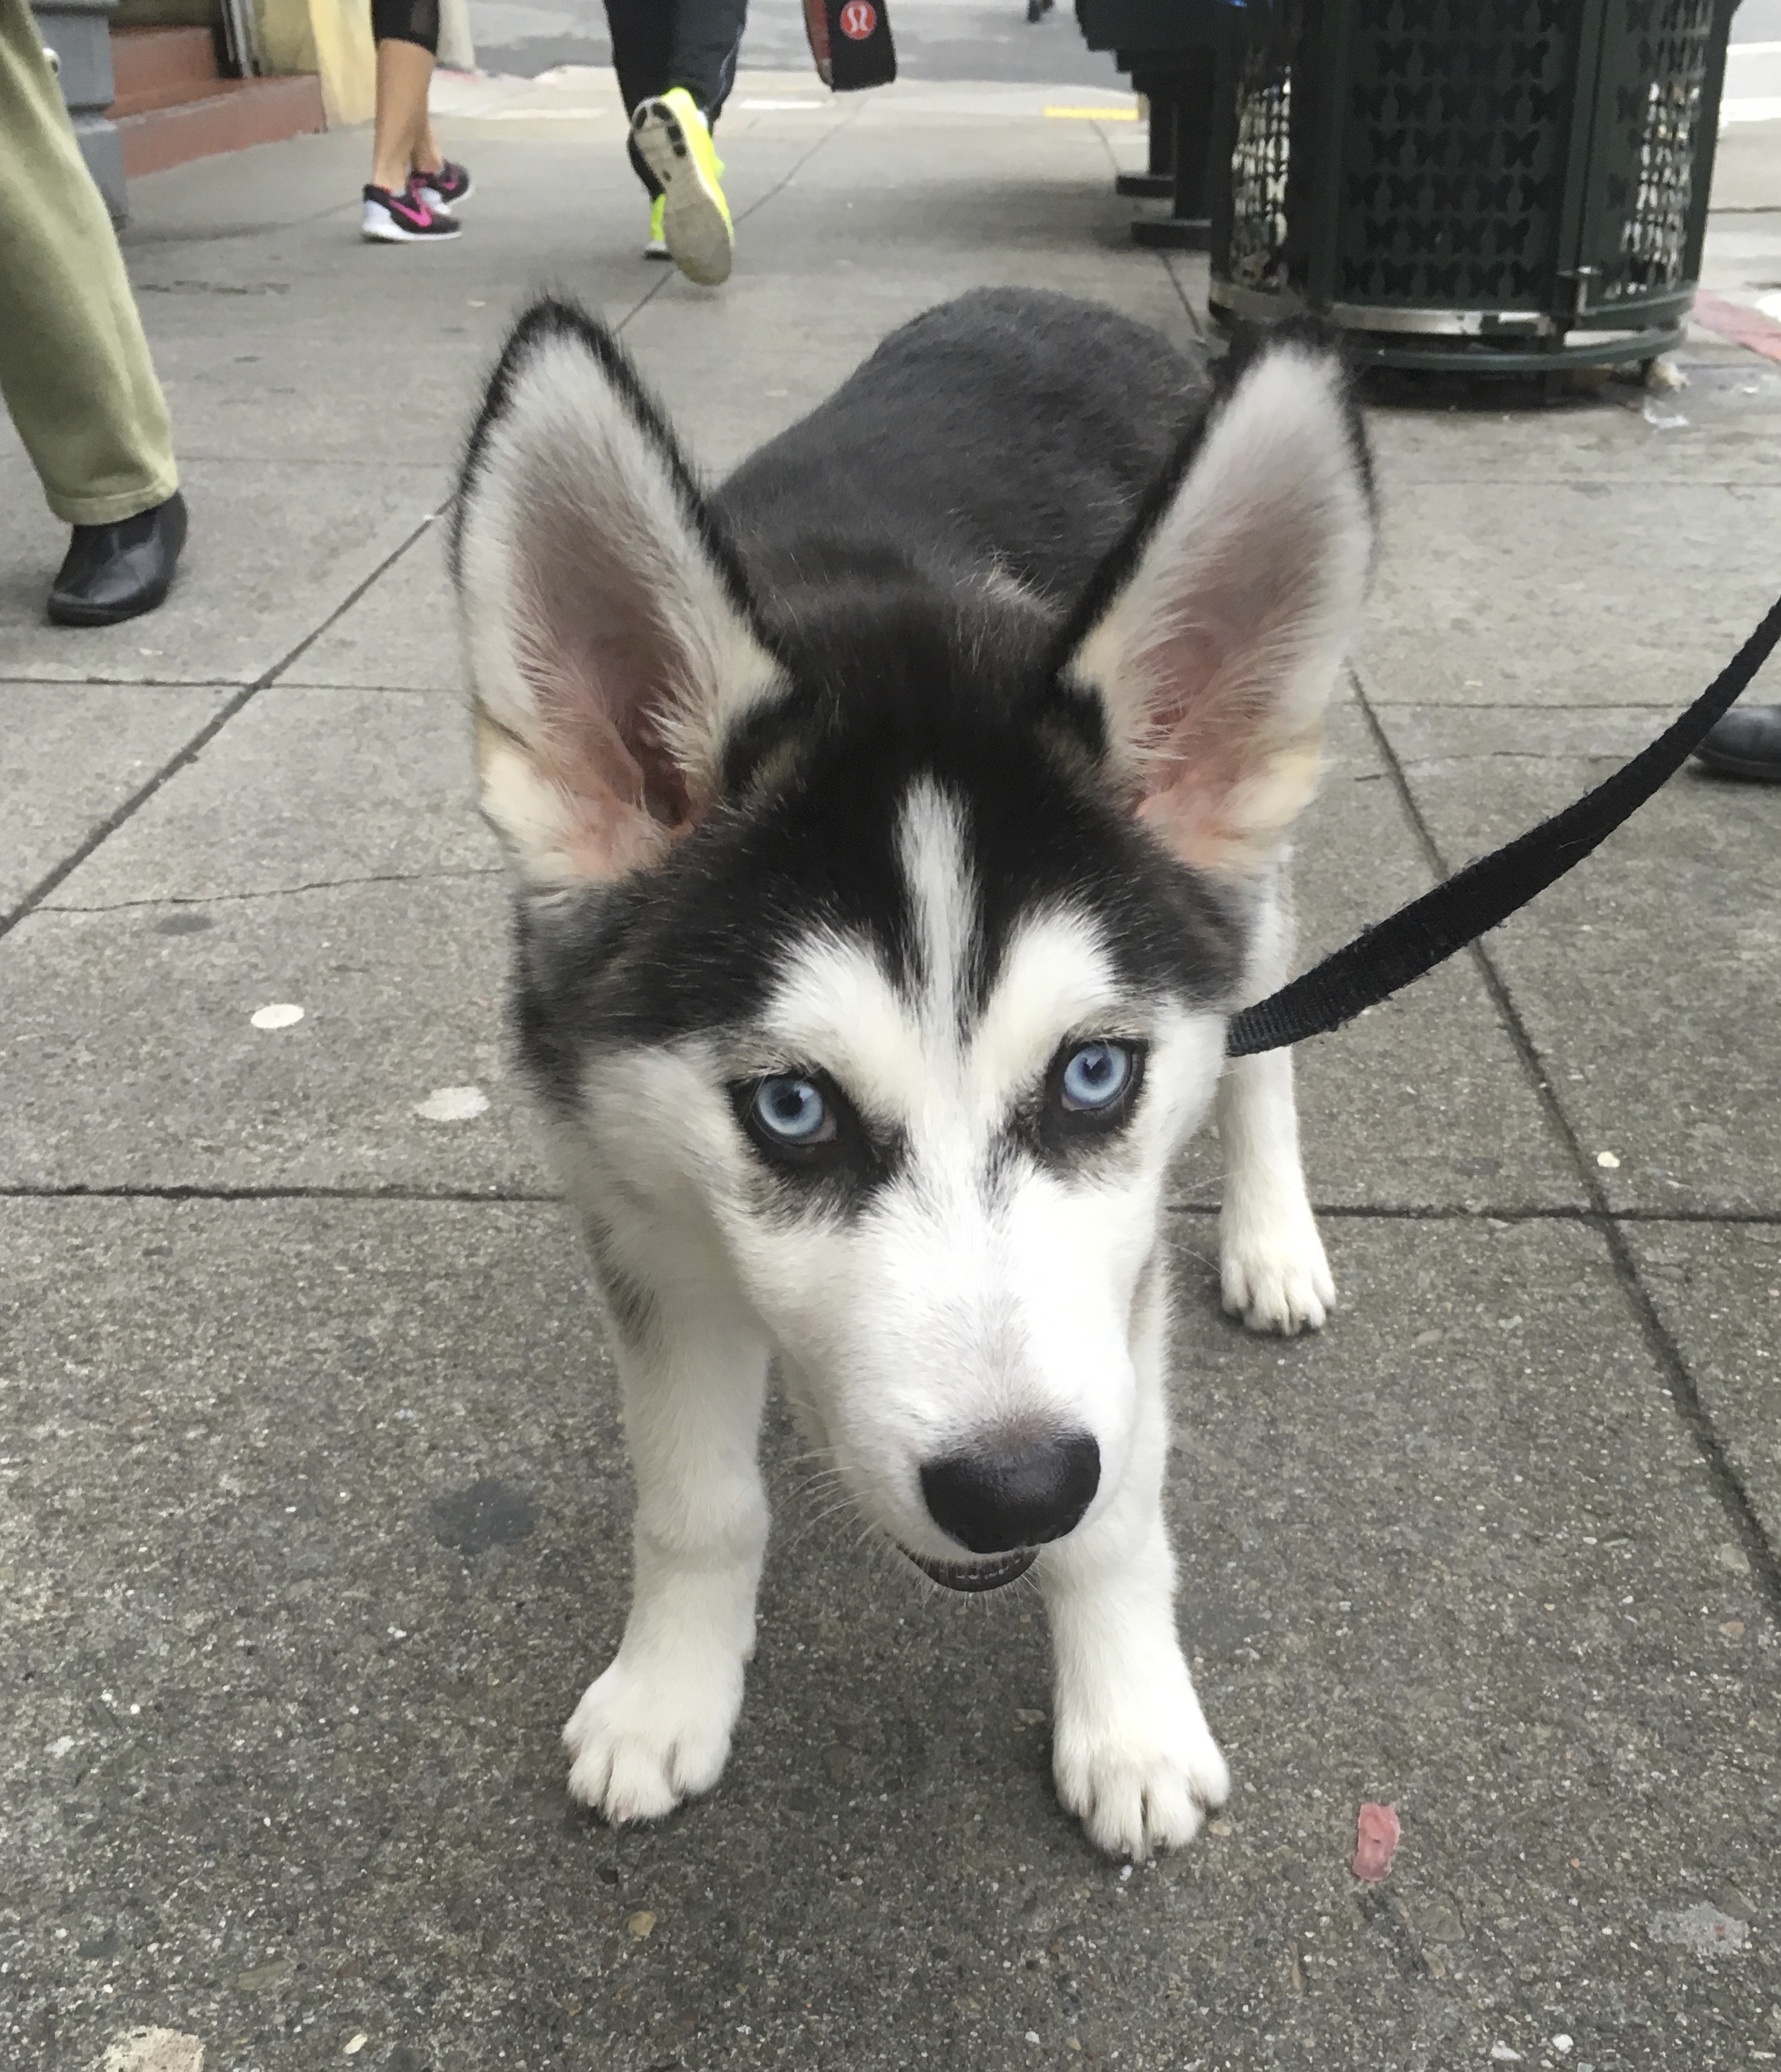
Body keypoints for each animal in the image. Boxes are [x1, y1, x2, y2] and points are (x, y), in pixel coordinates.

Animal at [451, 284, 1368, 1856]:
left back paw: (1270, 1237)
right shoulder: (637, 1216)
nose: (1013, 1488)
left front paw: (1128, 1715)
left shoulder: (1115, 1264)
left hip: (1248, 873)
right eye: (791, 1106)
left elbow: (1122, 1505)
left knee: (1264, 1033)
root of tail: (1041, 297)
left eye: (1091, 1077)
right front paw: (667, 1690)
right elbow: (695, 1498)